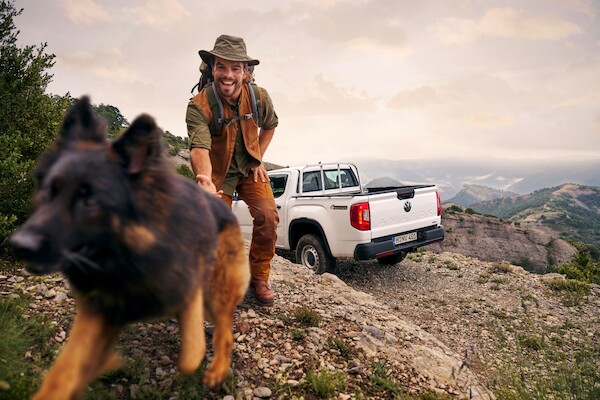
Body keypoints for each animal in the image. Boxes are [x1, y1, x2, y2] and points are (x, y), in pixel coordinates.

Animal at [9, 97, 248, 400]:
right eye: (49, 192)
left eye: (90, 201)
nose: (19, 245)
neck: (129, 255)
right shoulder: (99, 308)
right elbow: (64, 371)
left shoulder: (185, 287)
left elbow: (191, 353)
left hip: (220, 286)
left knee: (224, 328)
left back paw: (217, 370)